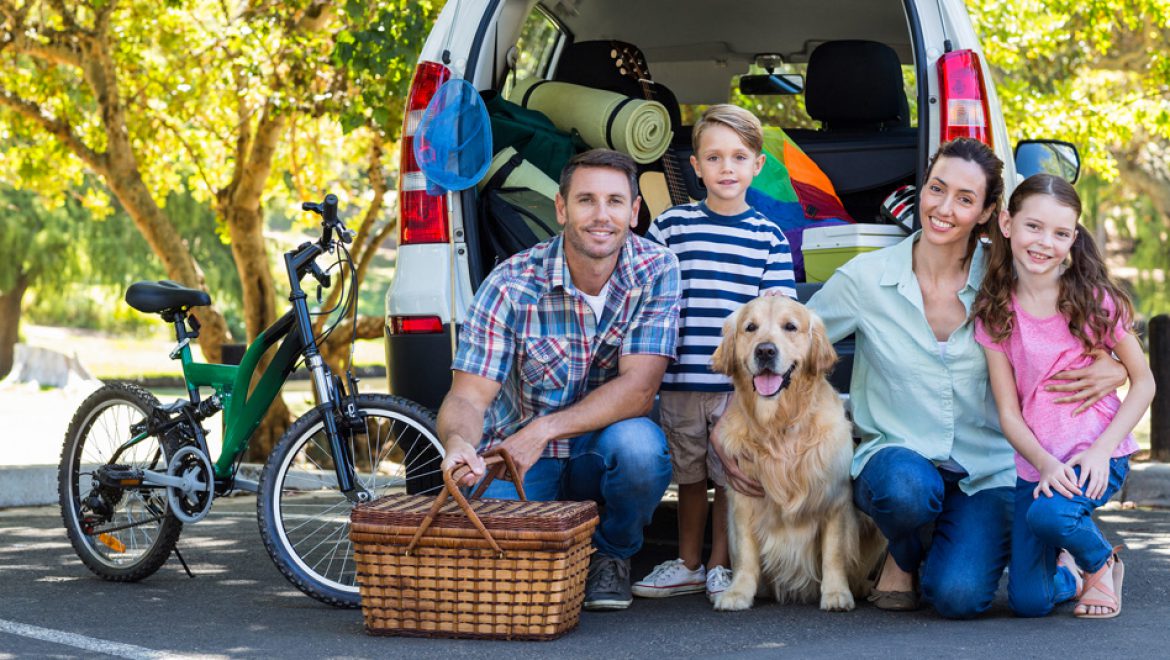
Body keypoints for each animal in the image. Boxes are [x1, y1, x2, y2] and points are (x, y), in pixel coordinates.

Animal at [706, 296, 879, 613]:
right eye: (750, 327)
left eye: (790, 327)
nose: (765, 350)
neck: (780, 425)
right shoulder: (742, 500)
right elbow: (746, 553)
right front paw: (738, 593)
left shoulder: (835, 498)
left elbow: (834, 552)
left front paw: (836, 593)